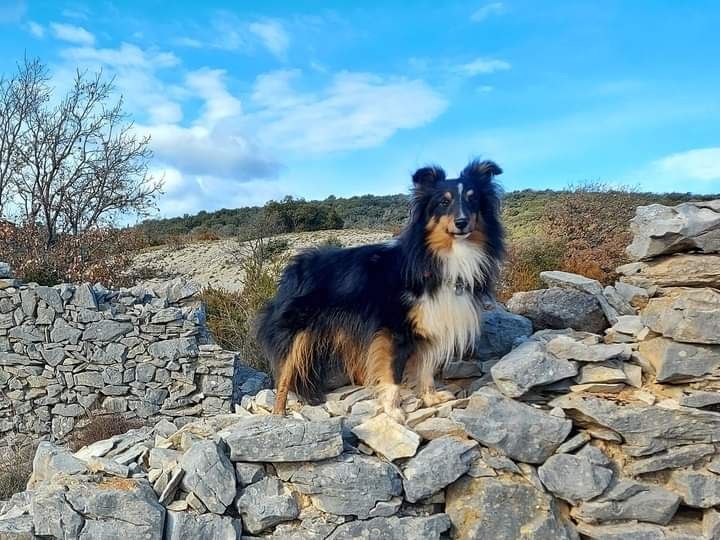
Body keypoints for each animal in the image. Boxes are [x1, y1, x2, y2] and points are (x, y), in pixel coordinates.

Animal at [256, 159, 504, 421]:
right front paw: (393, 411)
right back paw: (279, 414)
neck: (438, 257)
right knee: (284, 376)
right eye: (443, 202)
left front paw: (431, 398)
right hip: (296, 334)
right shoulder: (394, 330)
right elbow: (393, 373)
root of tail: (293, 267)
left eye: (472, 199)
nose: (462, 222)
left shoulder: (430, 322)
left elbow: (425, 367)